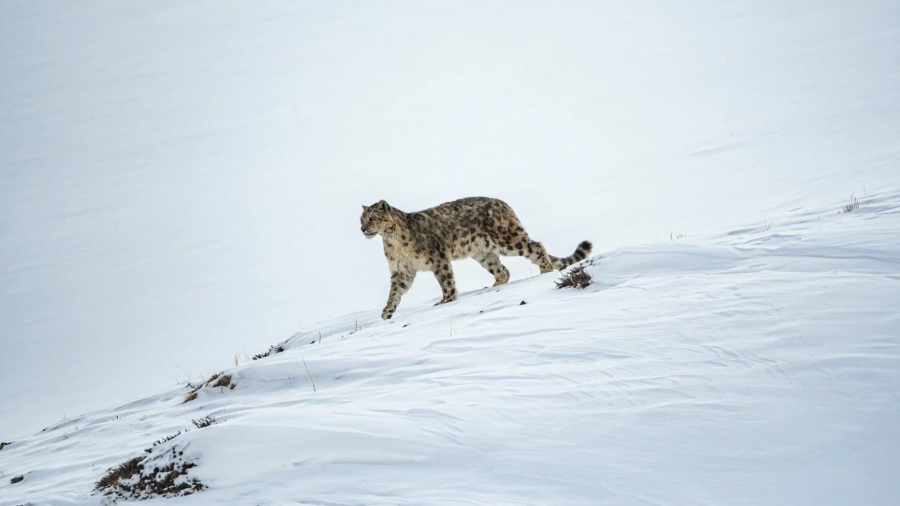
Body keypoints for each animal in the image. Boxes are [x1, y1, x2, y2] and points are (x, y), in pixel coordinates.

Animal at [360, 197, 592, 320]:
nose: (362, 229)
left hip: (507, 240)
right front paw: (387, 312)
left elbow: (446, 281)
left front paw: (446, 301)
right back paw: (492, 286)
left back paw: (544, 270)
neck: (392, 241)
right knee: (503, 271)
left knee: (536, 246)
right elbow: (395, 291)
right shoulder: (402, 270)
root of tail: (504, 204)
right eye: (361, 218)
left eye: (372, 217)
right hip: (483, 253)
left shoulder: (438, 259)